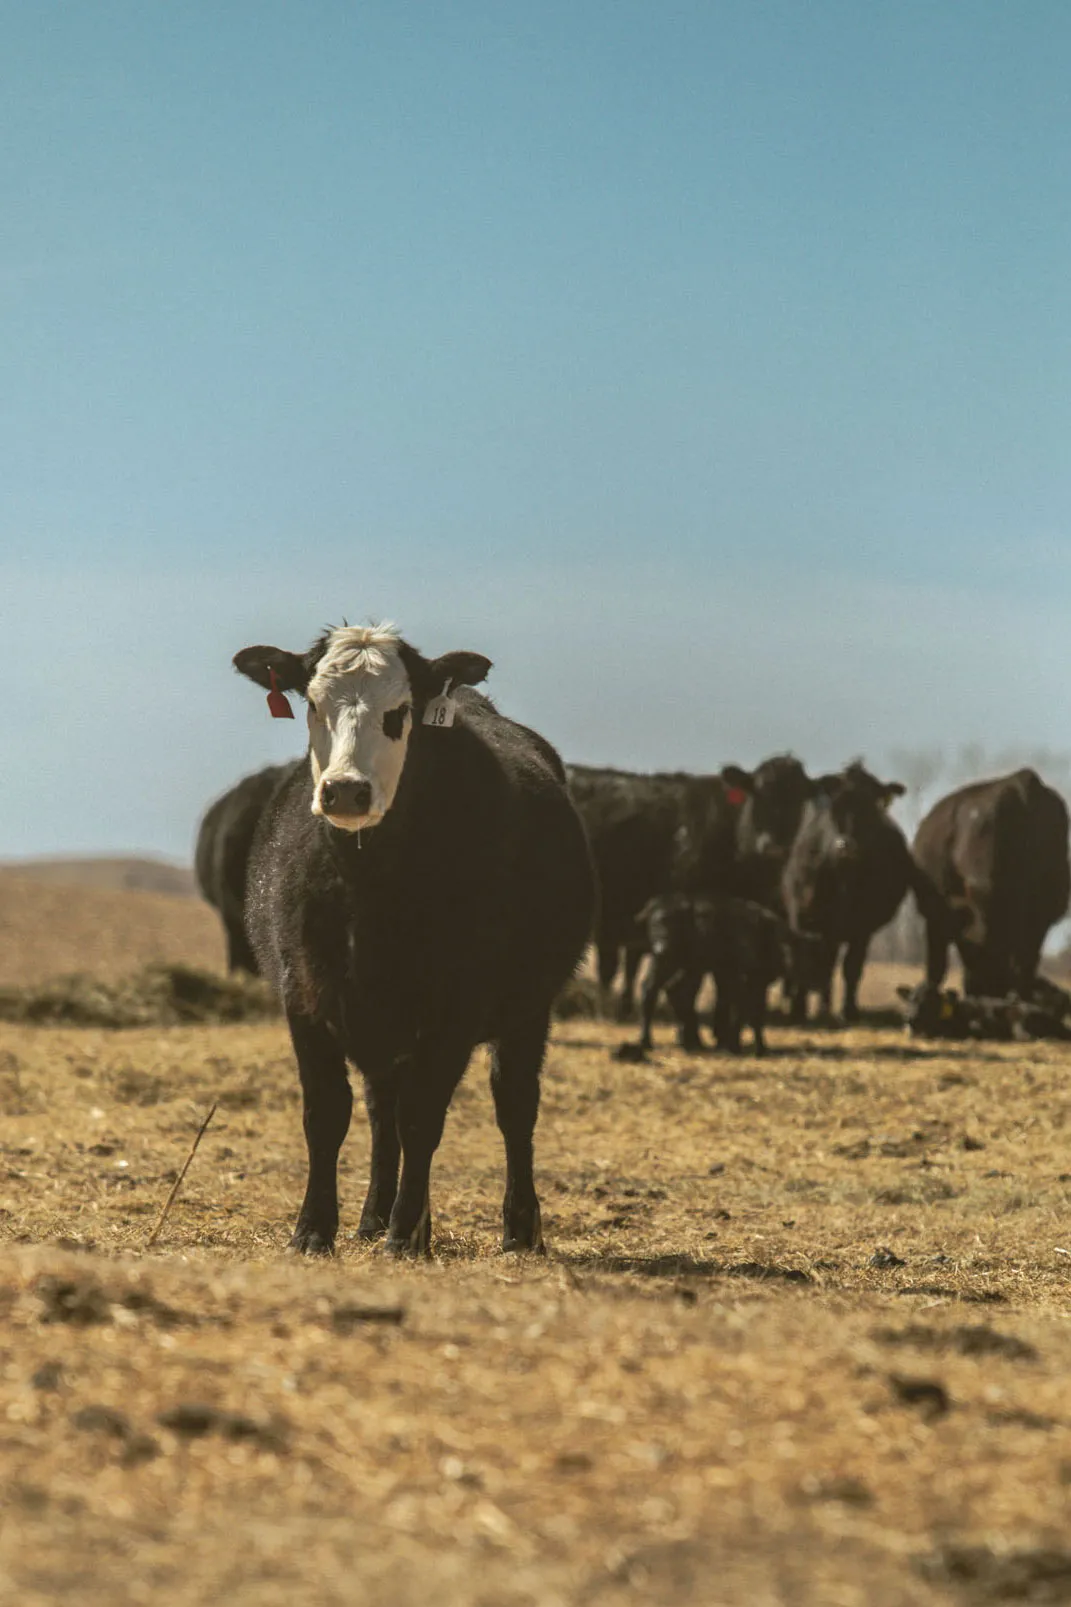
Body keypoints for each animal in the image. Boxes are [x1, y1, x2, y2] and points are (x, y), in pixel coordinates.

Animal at [233, 623, 595, 1257]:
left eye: (399, 712)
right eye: (313, 705)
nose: (345, 792)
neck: (368, 891)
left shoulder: (455, 1009)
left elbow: (424, 1117)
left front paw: (406, 1235)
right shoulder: (304, 996)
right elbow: (327, 1114)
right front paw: (314, 1228)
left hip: (529, 1010)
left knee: (514, 1105)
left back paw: (518, 1228)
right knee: (382, 1111)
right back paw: (373, 1215)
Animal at [781, 762, 914, 1022]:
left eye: (870, 808)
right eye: (835, 806)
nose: (846, 846)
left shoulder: (862, 927)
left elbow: (852, 967)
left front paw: (848, 1010)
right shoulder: (808, 919)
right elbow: (813, 962)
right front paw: (806, 1008)